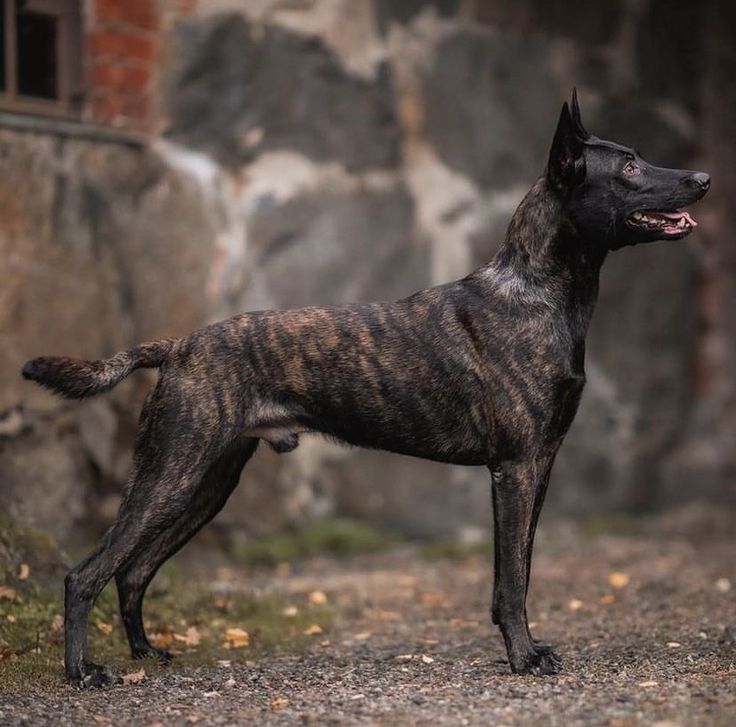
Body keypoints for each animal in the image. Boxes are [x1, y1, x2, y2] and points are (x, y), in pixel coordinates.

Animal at [23, 92, 712, 688]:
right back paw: (83, 673)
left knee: (134, 570)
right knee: (86, 573)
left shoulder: (539, 467)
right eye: (629, 166)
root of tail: (176, 346)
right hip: (171, 472)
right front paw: (523, 657)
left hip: (208, 482)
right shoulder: (515, 469)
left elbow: (516, 569)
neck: (536, 290)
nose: (703, 177)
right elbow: (513, 579)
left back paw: (146, 653)